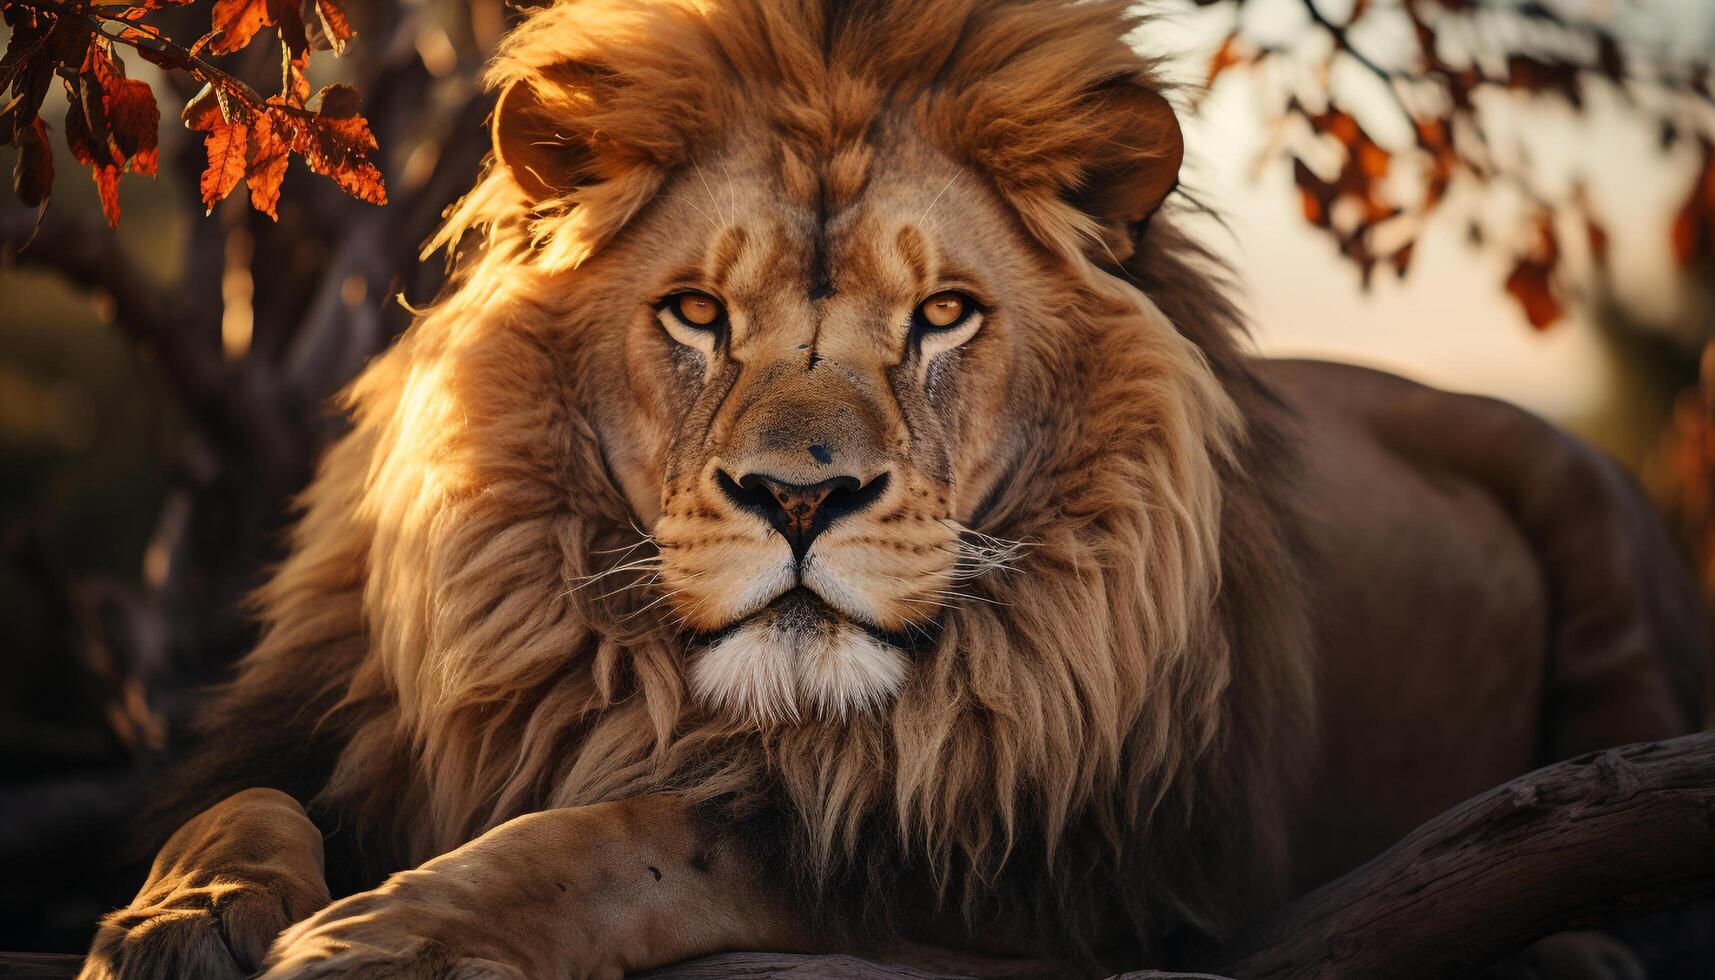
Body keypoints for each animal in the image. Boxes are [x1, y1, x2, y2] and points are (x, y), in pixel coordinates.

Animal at [73, 1, 1708, 980]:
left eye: (941, 316)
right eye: (695, 314)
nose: (801, 501)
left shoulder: (1030, 880)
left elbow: (639, 837)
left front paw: (393, 935)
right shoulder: (321, 724)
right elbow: (234, 804)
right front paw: (178, 922)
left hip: (1597, 535)